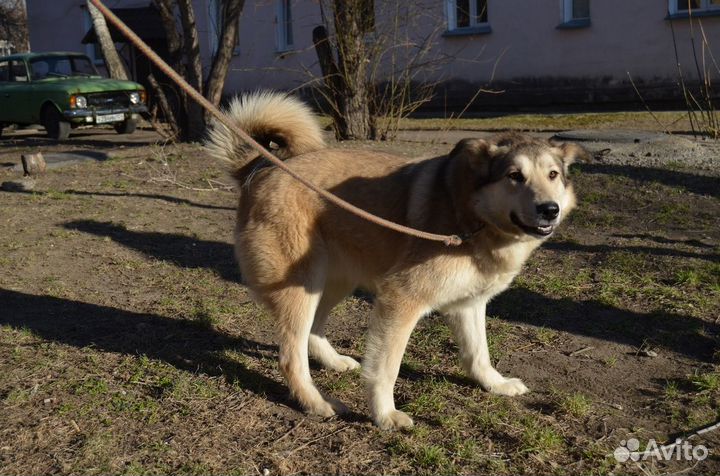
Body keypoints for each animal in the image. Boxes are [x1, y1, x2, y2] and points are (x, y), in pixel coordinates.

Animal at [205, 93, 584, 432]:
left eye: (553, 175)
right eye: (514, 176)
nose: (549, 209)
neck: (471, 213)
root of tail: (261, 167)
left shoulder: (469, 304)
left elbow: (478, 354)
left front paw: (495, 383)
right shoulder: (401, 301)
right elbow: (385, 369)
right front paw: (385, 415)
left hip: (330, 282)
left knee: (313, 331)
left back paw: (334, 362)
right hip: (301, 288)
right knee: (290, 358)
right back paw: (317, 402)